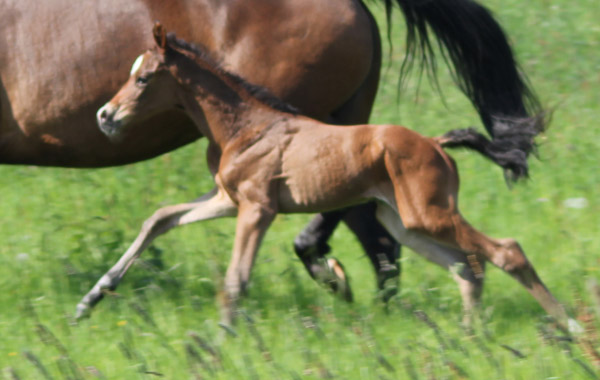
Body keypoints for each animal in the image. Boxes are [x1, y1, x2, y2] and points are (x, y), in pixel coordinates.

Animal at [0, 0, 544, 300]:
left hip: (331, 144)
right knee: (382, 237)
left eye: (143, 78)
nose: (104, 116)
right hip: (354, 147)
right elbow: (161, 219)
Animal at [78, 24, 572, 332]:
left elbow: (237, 279)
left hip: (430, 214)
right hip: (403, 222)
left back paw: (567, 326)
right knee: (465, 267)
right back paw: (471, 338)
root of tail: (434, 143)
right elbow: (160, 218)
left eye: (143, 79)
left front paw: (220, 342)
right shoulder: (227, 200)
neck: (245, 125)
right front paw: (92, 298)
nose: (105, 116)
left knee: (504, 252)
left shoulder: (258, 209)